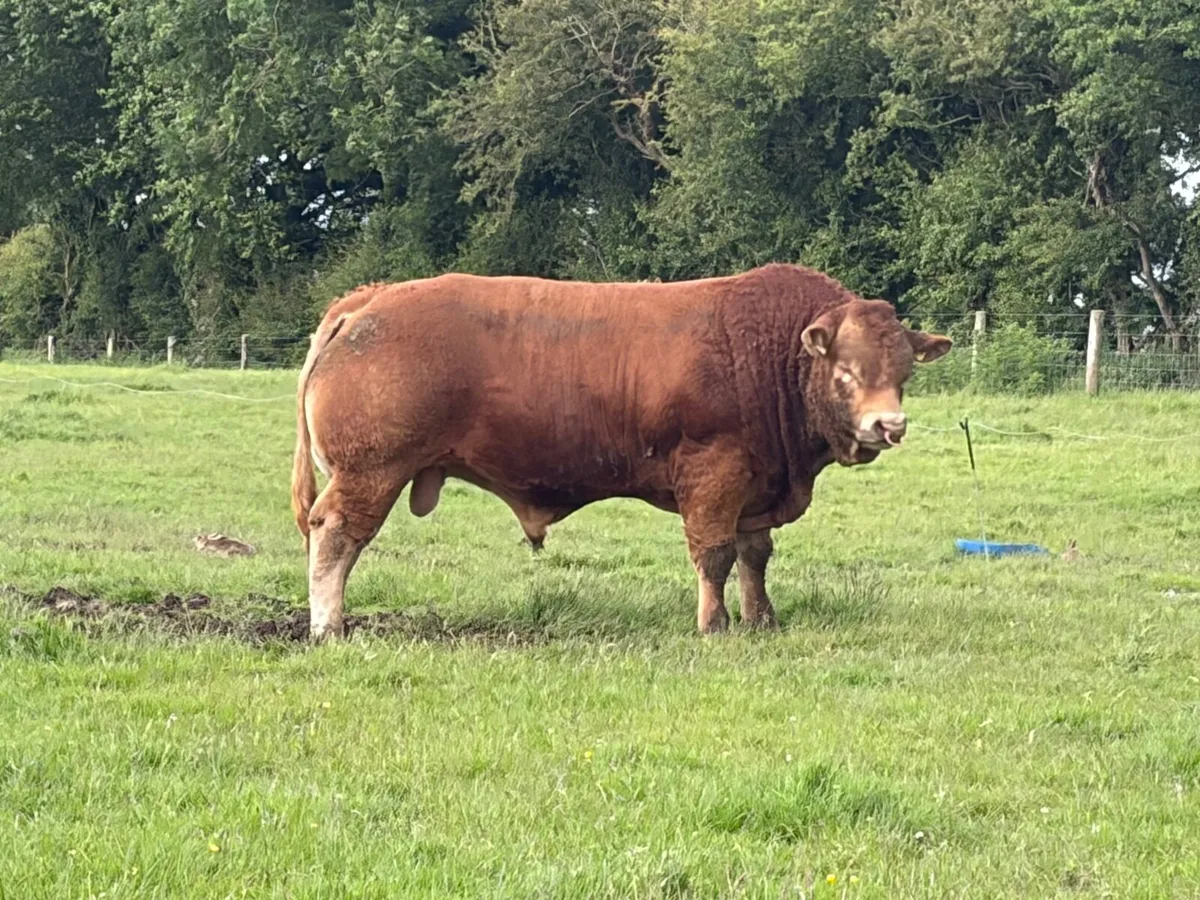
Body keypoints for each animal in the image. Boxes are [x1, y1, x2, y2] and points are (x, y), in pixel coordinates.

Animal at [291, 264, 951, 639]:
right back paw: (328, 626)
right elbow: (713, 555)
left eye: (904, 370)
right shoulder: (714, 474)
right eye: (846, 369)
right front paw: (714, 626)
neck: (768, 354)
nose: (889, 424)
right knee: (335, 536)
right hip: (370, 470)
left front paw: (762, 619)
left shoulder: (756, 488)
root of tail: (369, 300)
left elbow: (754, 557)